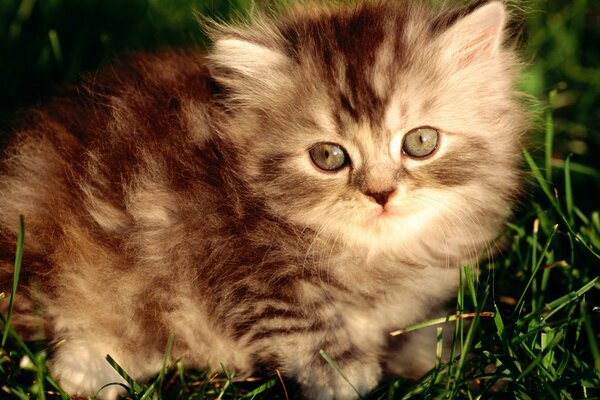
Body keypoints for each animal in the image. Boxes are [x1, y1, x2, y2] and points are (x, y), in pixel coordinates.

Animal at [0, 0, 528, 398]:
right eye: (328, 156)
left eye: (420, 142)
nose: (380, 194)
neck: (374, 256)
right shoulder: (239, 268)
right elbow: (305, 324)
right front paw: (345, 376)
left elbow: (421, 331)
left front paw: (454, 361)